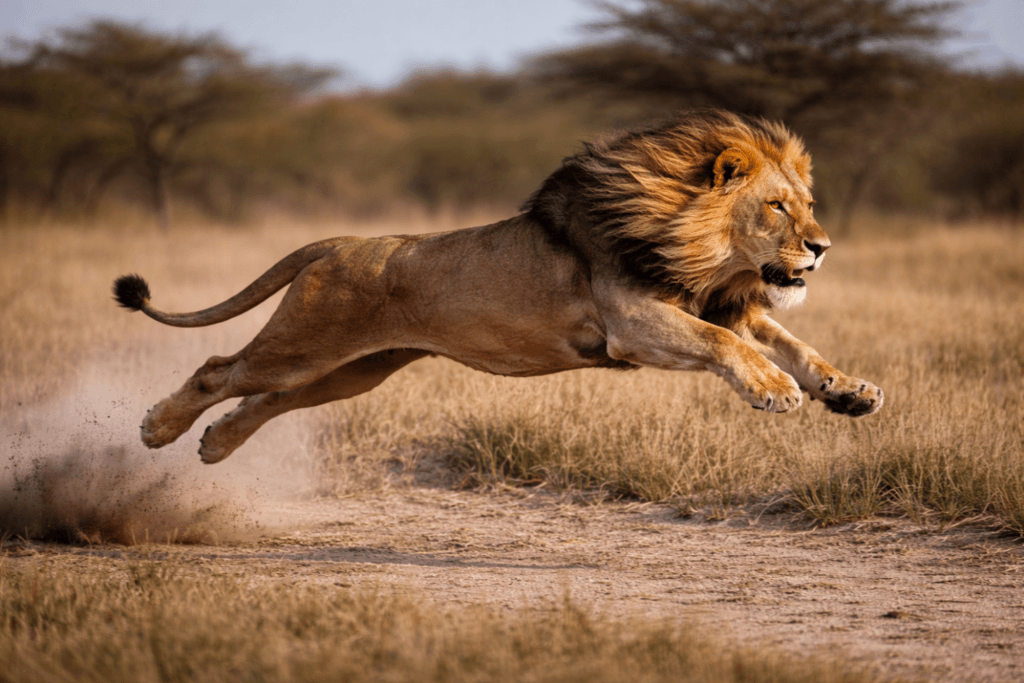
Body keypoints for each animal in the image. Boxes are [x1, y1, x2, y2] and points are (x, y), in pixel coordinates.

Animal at [114, 110, 883, 464]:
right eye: (776, 207)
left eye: (807, 204)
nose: (822, 247)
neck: (696, 249)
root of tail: (338, 242)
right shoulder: (634, 323)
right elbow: (729, 345)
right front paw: (772, 391)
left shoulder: (716, 303)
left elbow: (794, 342)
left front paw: (849, 391)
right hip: (307, 343)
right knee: (220, 369)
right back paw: (158, 429)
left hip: (355, 369)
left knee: (270, 399)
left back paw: (215, 446)